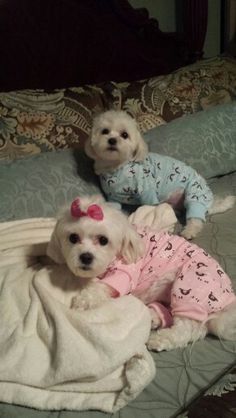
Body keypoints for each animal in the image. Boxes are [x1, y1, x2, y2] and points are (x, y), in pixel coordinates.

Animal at [46, 194, 236, 352]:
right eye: (72, 238)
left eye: (103, 240)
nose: (85, 257)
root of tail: (227, 299)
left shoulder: (126, 271)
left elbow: (102, 287)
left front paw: (84, 300)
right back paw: (154, 317)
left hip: (189, 287)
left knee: (187, 330)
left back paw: (160, 339)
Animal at [85, 109, 234, 240]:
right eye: (104, 131)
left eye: (124, 135)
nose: (112, 140)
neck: (117, 167)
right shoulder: (112, 198)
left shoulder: (147, 191)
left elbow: (150, 207)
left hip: (195, 192)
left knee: (195, 218)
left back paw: (189, 231)